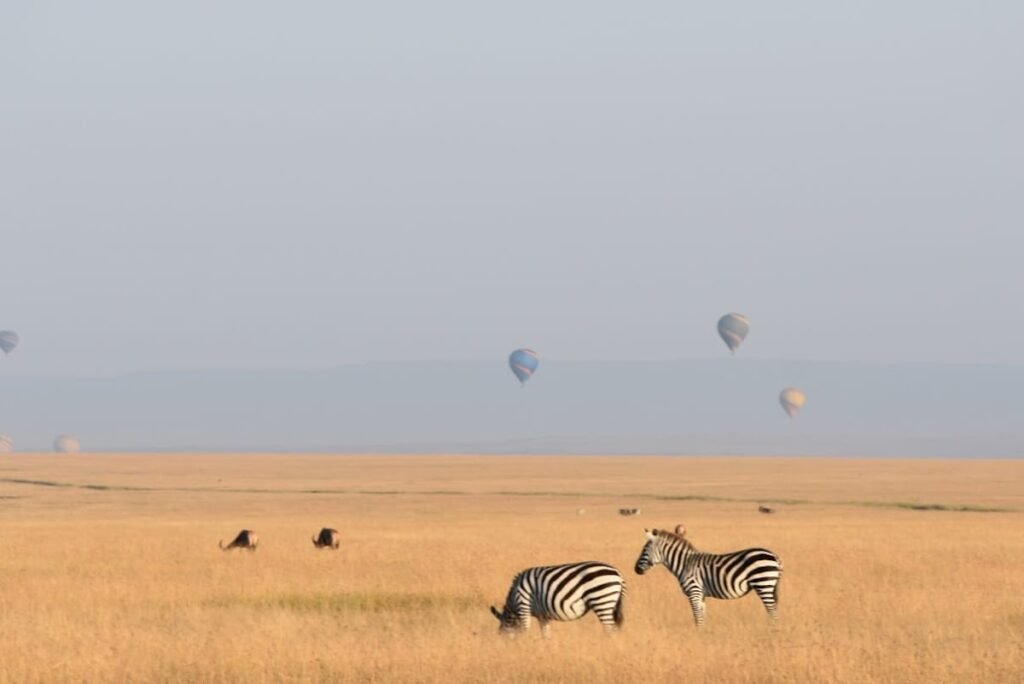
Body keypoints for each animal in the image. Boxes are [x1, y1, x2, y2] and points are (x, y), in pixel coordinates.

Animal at [490, 561, 625, 637]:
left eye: (502, 634)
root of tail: (618, 574)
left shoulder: (524, 606)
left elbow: (525, 631)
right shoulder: (543, 616)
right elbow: (546, 635)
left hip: (602, 599)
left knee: (610, 630)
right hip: (610, 602)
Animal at [634, 525, 782, 627]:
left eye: (644, 550)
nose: (636, 570)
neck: (685, 564)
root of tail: (774, 556)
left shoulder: (694, 591)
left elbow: (697, 617)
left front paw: (697, 635)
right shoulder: (701, 594)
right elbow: (702, 617)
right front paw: (704, 634)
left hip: (763, 584)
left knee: (773, 613)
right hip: (768, 586)